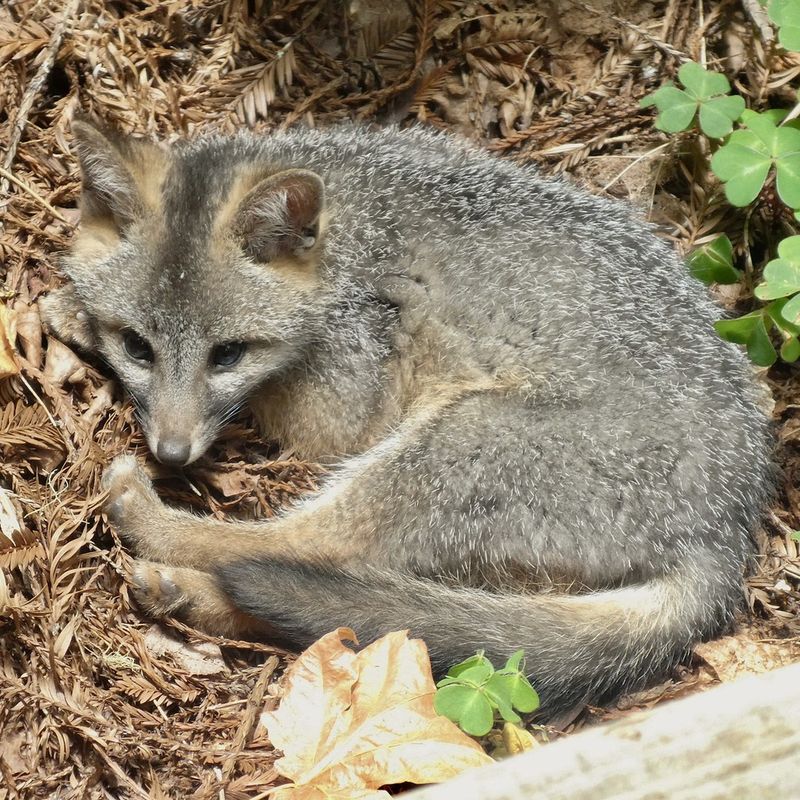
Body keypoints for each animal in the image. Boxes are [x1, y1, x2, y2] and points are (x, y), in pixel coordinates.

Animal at [41, 116, 774, 718]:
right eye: (138, 346)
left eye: (228, 354)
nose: (171, 453)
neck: (345, 234)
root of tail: (726, 531)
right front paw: (73, 311)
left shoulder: (338, 412)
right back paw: (186, 594)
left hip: (452, 444)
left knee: (301, 546)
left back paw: (155, 530)